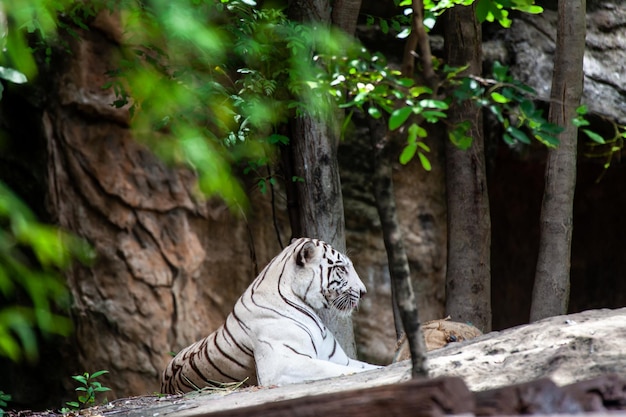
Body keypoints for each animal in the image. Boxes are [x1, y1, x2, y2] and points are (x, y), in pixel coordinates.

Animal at [160, 236, 376, 392]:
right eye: (341, 268)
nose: (364, 292)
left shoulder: (338, 357)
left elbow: (366, 366)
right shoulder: (283, 364)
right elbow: (343, 370)